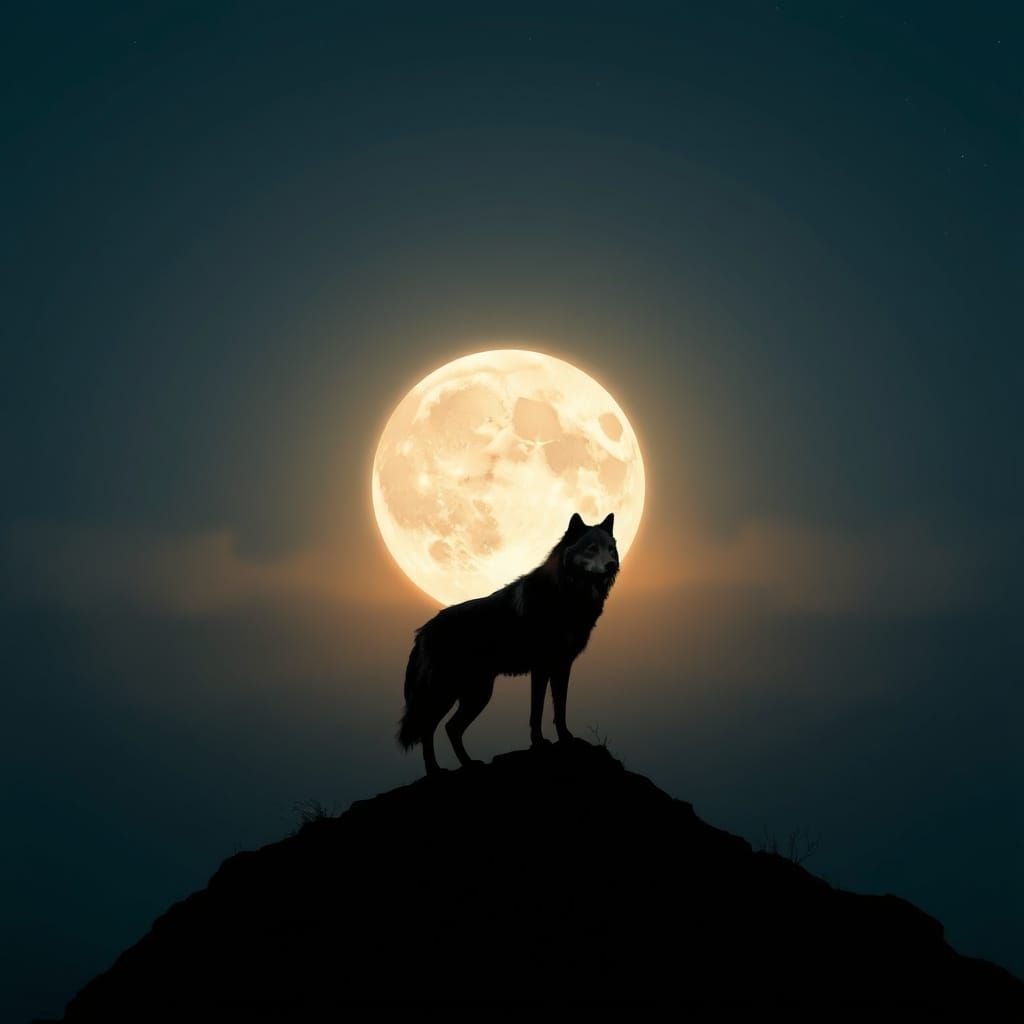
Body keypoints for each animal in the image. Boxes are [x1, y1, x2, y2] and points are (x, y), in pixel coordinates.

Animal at [398, 512, 620, 774]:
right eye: (592, 548)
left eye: (611, 548)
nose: (613, 565)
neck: (566, 594)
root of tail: (423, 631)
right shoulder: (541, 667)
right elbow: (537, 710)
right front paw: (539, 742)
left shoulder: (562, 666)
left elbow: (560, 707)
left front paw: (565, 738)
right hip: (450, 693)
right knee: (428, 727)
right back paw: (435, 770)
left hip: (476, 694)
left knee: (450, 728)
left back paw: (468, 764)